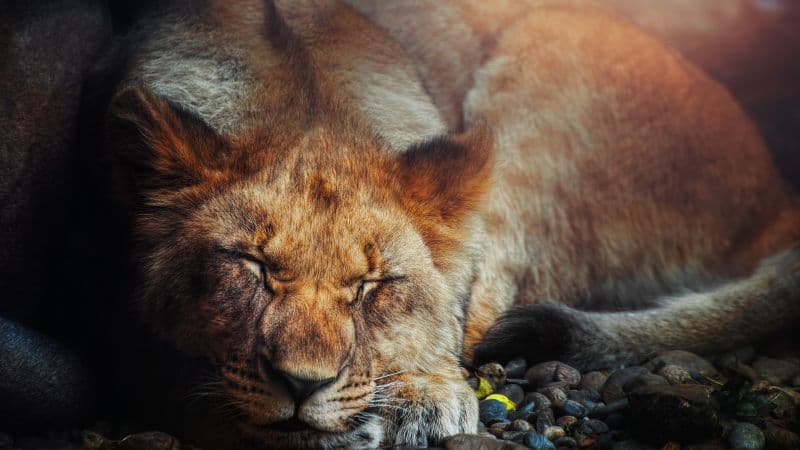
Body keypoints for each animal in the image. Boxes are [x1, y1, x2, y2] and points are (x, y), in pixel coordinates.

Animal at [106, 0, 800, 448]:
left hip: (543, 80)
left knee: (485, 312)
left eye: (372, 286)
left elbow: (449, 311)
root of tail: (773, 195)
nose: (304, 386)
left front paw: (420, 394)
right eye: (252, 268)